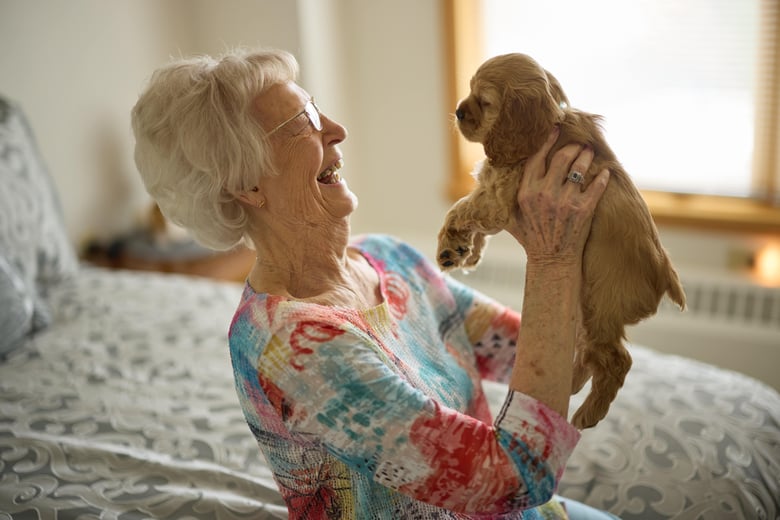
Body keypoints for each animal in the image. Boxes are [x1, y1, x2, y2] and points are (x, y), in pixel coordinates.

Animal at [438, 52, 688, 428]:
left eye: (483, 101)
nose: (457, 111)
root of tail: (665, 272)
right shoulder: (496, 194)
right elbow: (471, 211)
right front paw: (462, 251)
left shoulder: (499, 199)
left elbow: (460, 207)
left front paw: (449, 244)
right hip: (586, 303)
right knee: (588, 354)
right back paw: (568, 388)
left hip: (602, 305)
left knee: (616, 360)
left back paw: (587, 414)